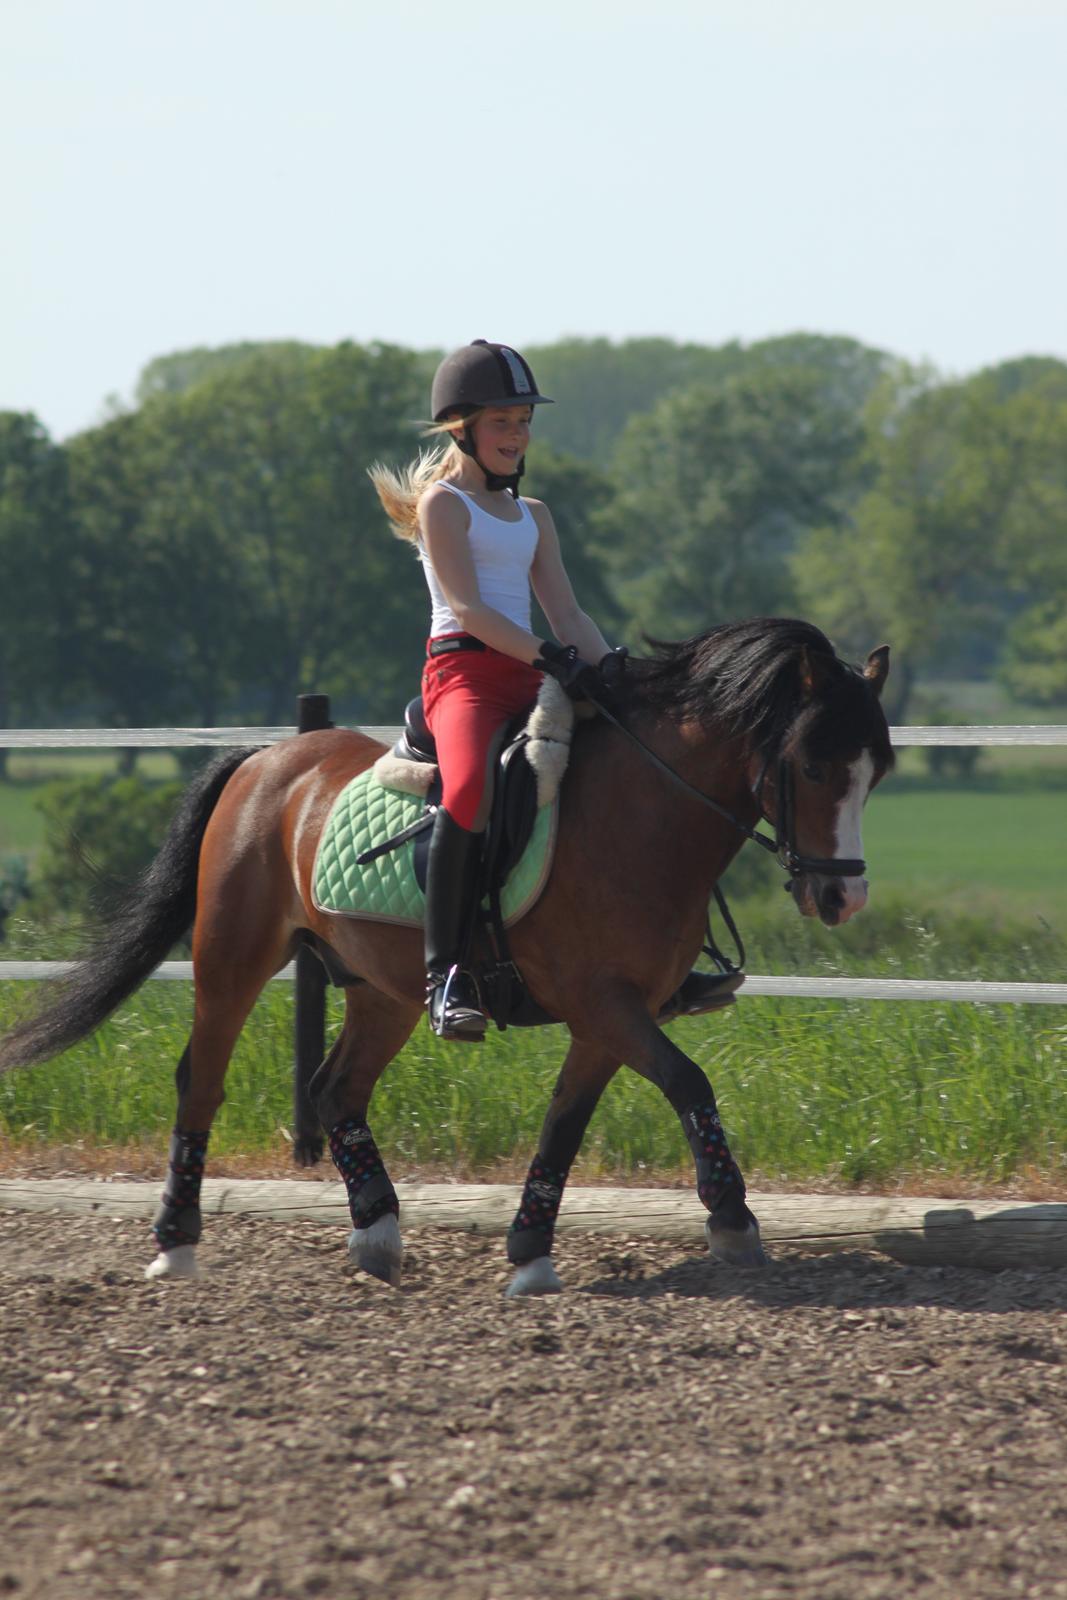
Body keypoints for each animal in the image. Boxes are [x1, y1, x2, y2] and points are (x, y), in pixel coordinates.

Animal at [0, 617, 893, 1296]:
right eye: (813, 763)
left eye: (875, 773)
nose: (842, 897)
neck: (642, 814)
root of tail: (264, 759)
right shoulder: (603, 1002)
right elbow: (689, 1083)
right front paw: (733, 1221)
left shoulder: (608, 1017)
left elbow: (564, 1125)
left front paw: (530, 1254)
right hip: (233, 957)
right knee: (202, 1080)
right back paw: (176, 1242)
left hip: (383, 989)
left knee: (335, 1088)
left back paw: (377, 1231)